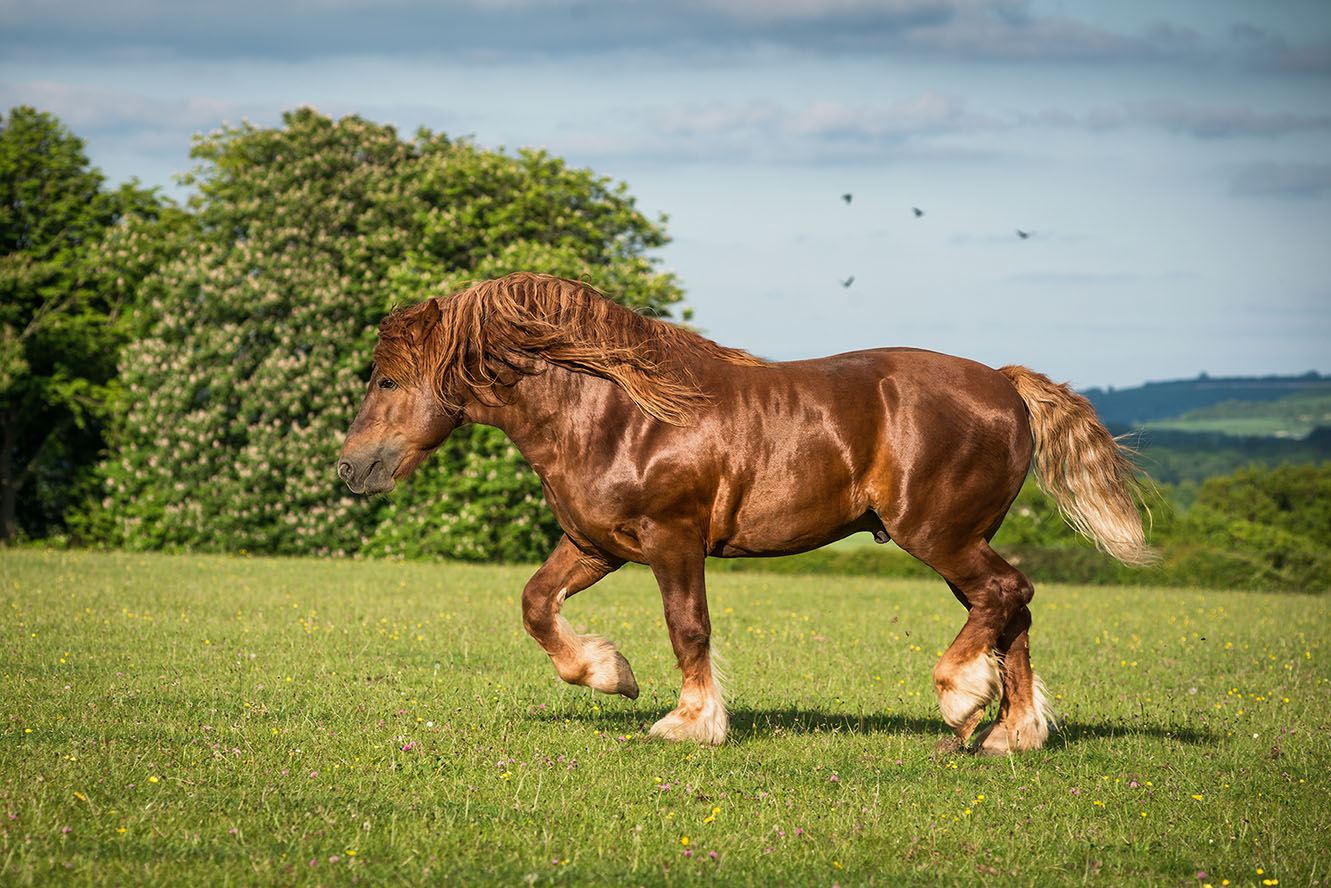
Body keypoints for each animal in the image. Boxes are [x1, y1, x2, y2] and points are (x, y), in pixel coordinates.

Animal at [338, 274, 1149, 756]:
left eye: (386, 380)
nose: (350, 469)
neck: (615, 413)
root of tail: (1005, 385)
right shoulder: (595, 545)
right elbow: (536, 605)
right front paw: (608, 673)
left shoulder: (673, 540)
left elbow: (688, 627)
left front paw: (689, 722)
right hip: (961, 540)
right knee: (1009, 609)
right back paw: (1011, 734)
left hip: (938, 535)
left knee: (1008, 595)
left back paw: (961, 702)